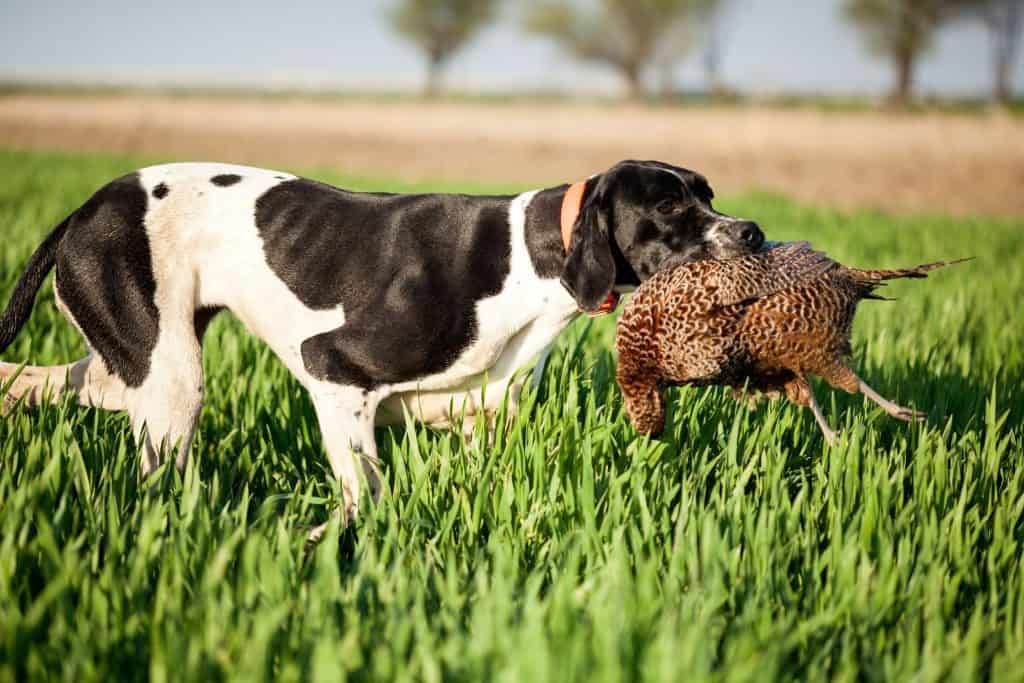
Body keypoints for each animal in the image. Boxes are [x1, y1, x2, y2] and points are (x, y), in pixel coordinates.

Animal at [0, 158, 761, 532]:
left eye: (710, 194)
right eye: (668, 206)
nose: (752, 231)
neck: (529, 257)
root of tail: (83, 210)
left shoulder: (482, 423)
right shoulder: (334, 371)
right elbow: (365, 497)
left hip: (136, 362)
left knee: (53, 380)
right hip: (171, 381)